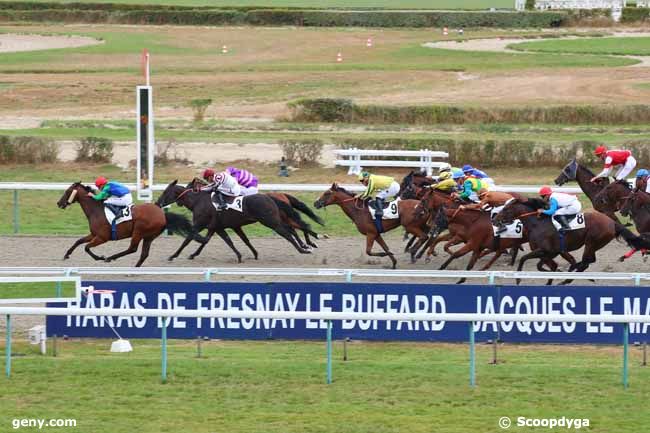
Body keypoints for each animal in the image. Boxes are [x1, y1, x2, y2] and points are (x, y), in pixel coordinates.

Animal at [57, 181, 195, 264]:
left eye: (67, 191)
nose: (59, 203)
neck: (96, 211)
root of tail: (162, 215)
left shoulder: (102, 237)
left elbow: (86, 247)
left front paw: (100, 257)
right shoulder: (94, 234)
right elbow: (79, 241)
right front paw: (66, 255)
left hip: (138, 231)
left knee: (132, 249)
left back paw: (110, 258)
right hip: (149, 236)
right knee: (144, 254)